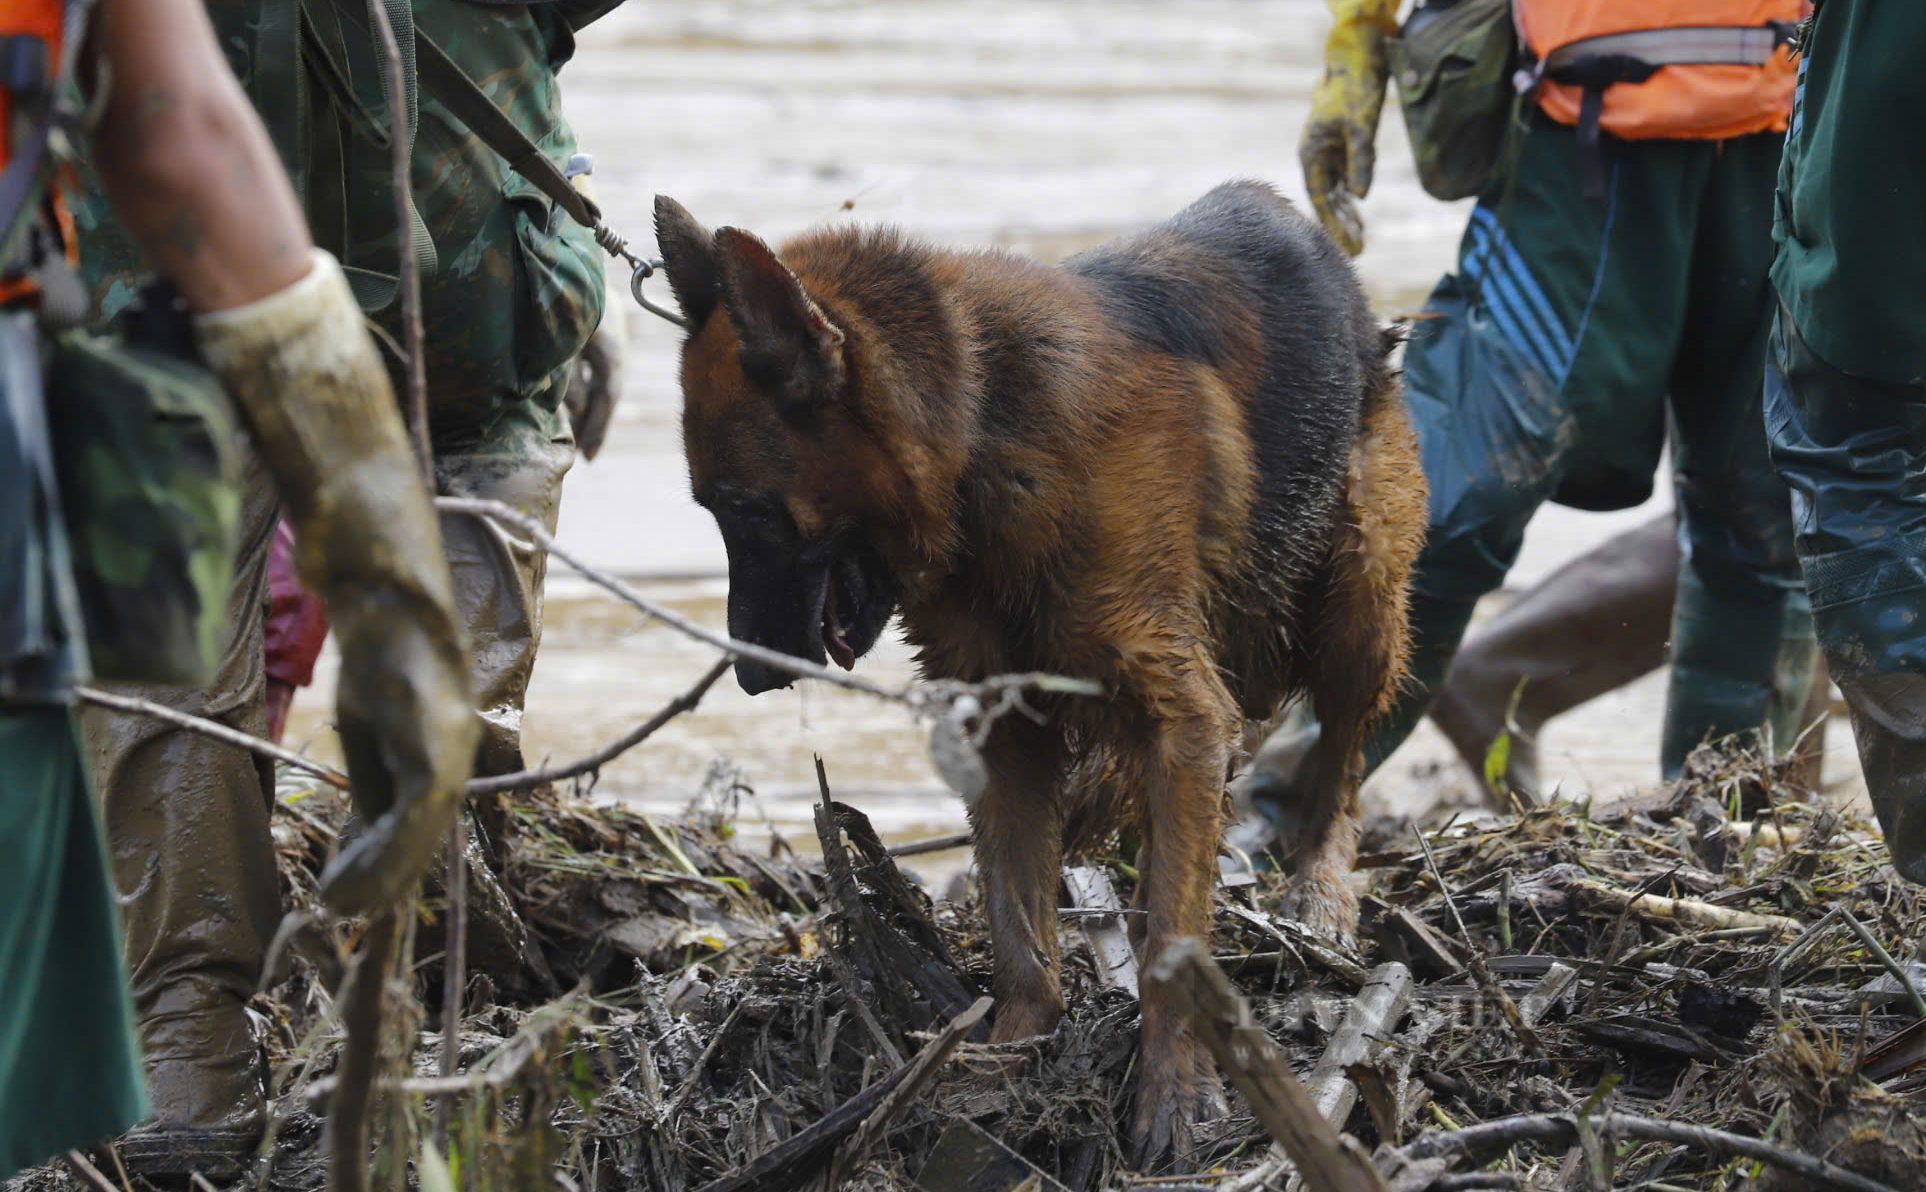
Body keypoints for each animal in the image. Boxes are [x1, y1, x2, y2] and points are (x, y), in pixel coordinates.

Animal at [654, 181, 1425, 1163]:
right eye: (714, 511)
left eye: (748, 510)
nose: (750, 678)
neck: (982, 430)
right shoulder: (1008, 730)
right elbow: (1018, 923)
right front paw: (1005, 1059)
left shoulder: (1181, 712)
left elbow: (1174, 939)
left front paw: (1173, 1091)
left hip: (1358, 606)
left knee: (1340, 764)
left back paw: (1320, 890)